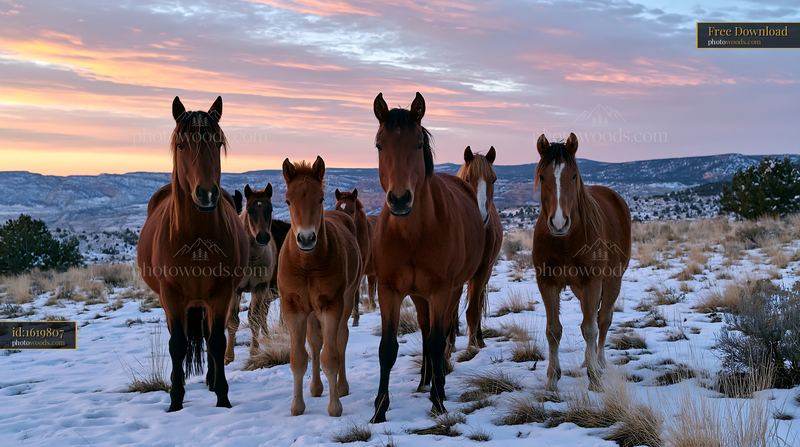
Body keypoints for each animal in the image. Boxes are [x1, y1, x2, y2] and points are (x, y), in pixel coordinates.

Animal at [137, 96, 248, 412]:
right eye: (181, 144)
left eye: (218, 143)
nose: (206, 194)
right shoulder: (171, 295)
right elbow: (177, 345)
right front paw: (175, 399)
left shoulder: (221, 293)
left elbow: (217, 341)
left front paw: (223, 397)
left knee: (209, 337)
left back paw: (211, 381)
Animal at [224, 184, 278, 364]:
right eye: (250, 209)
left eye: (270, 208)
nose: (262, 237)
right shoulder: (234, 290)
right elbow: (233, 321)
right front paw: (228, 356)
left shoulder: (260, 288)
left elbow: (255, 318)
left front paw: (254, 351)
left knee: (262, 315)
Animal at [278, 156, 362, 417]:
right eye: (288, 200)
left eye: (321, 198)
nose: (306, 239)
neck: (307, 265)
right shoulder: (293, 309)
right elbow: (298, 358)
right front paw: (297, 406)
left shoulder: (330, 306)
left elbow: (331, 357)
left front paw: (335, 407)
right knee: (315, 343)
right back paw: (315, 388)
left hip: (347, 300)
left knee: (341, 339)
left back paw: (342, 387)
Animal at [370, 92, 486, 422]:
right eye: (379, 144)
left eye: (418, 144)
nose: (399, 199)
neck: (412, 235)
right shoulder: (389, 290)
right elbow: (387, 348)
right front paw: (379, 409)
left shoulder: (441, 290)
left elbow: (437, 341)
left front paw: (438, 401)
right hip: (418, 294)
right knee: (424, 329)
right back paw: (425, 379)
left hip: (452, 289)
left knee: (439, 332)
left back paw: (438, 384)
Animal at [532, 133, 631, 392]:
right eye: (543, 176)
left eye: (573, 175)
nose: (559, 222)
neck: (566, 241)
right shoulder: (546, 283)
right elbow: (553, 330)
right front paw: (552, 378)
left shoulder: (592, 282)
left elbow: (590, 328)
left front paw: (595, 378)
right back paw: (589, 361)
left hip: (612, 281)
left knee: (603, 320)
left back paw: (599, 362)